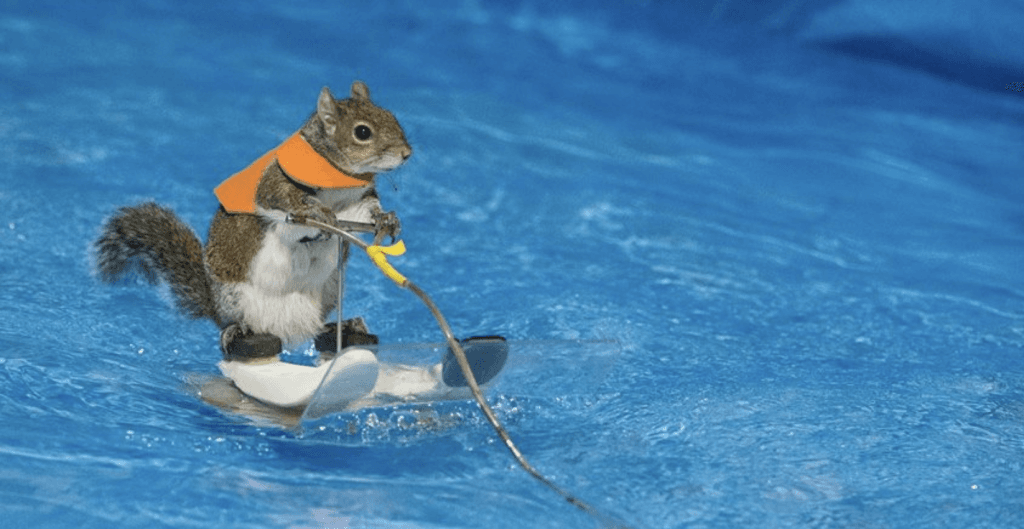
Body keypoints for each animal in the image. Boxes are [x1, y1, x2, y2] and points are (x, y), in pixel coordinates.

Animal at [95, 81, 412, 361]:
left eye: (391, 115)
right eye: (362, 132)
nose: (407, 154)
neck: (340, 176)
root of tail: (288, 329)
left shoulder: (356, 199)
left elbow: (363, 212)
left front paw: (386, 220)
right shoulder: (276, 184)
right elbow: (287, 206)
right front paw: (318, 215)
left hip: (329, 291)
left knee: (319, 328)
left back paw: (345, 325)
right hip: (234, 297)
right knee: (237, 323)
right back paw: (237, 329)